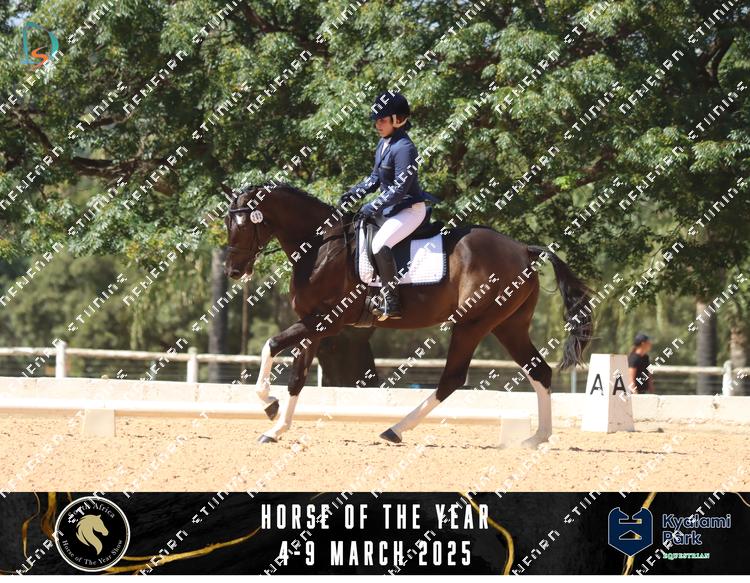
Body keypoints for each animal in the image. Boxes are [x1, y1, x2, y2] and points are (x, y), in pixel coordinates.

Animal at [223, 183, 593, 448]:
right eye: (227, 223)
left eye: (242, 224)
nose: (233, 271)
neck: (320, 247)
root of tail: (524, 249)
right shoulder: (314, 325)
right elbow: (297, 378)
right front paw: (276, 426)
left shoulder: (324, 321)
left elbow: (271, 345)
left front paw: (269, 405)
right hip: (508, 325)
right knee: (539, 370)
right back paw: (537, 438)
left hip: (473, 323)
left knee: (452, 379)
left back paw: (395, 430)